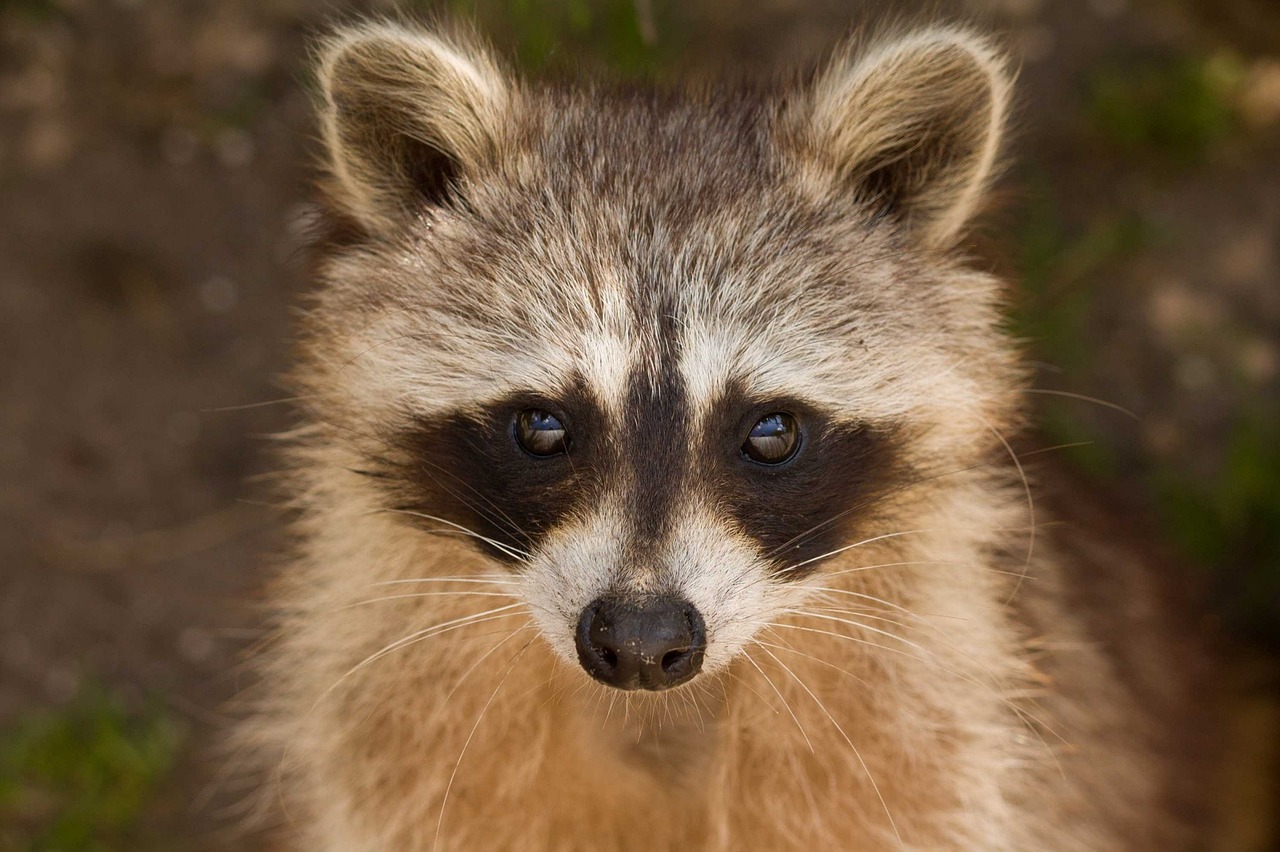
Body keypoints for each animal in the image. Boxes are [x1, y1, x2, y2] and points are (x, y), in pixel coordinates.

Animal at [247, 19, 1208, 849]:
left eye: (771, 432)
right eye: (543, 425)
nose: (640, 644)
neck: (659, 718)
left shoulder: (932, 748)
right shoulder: (396, 737)